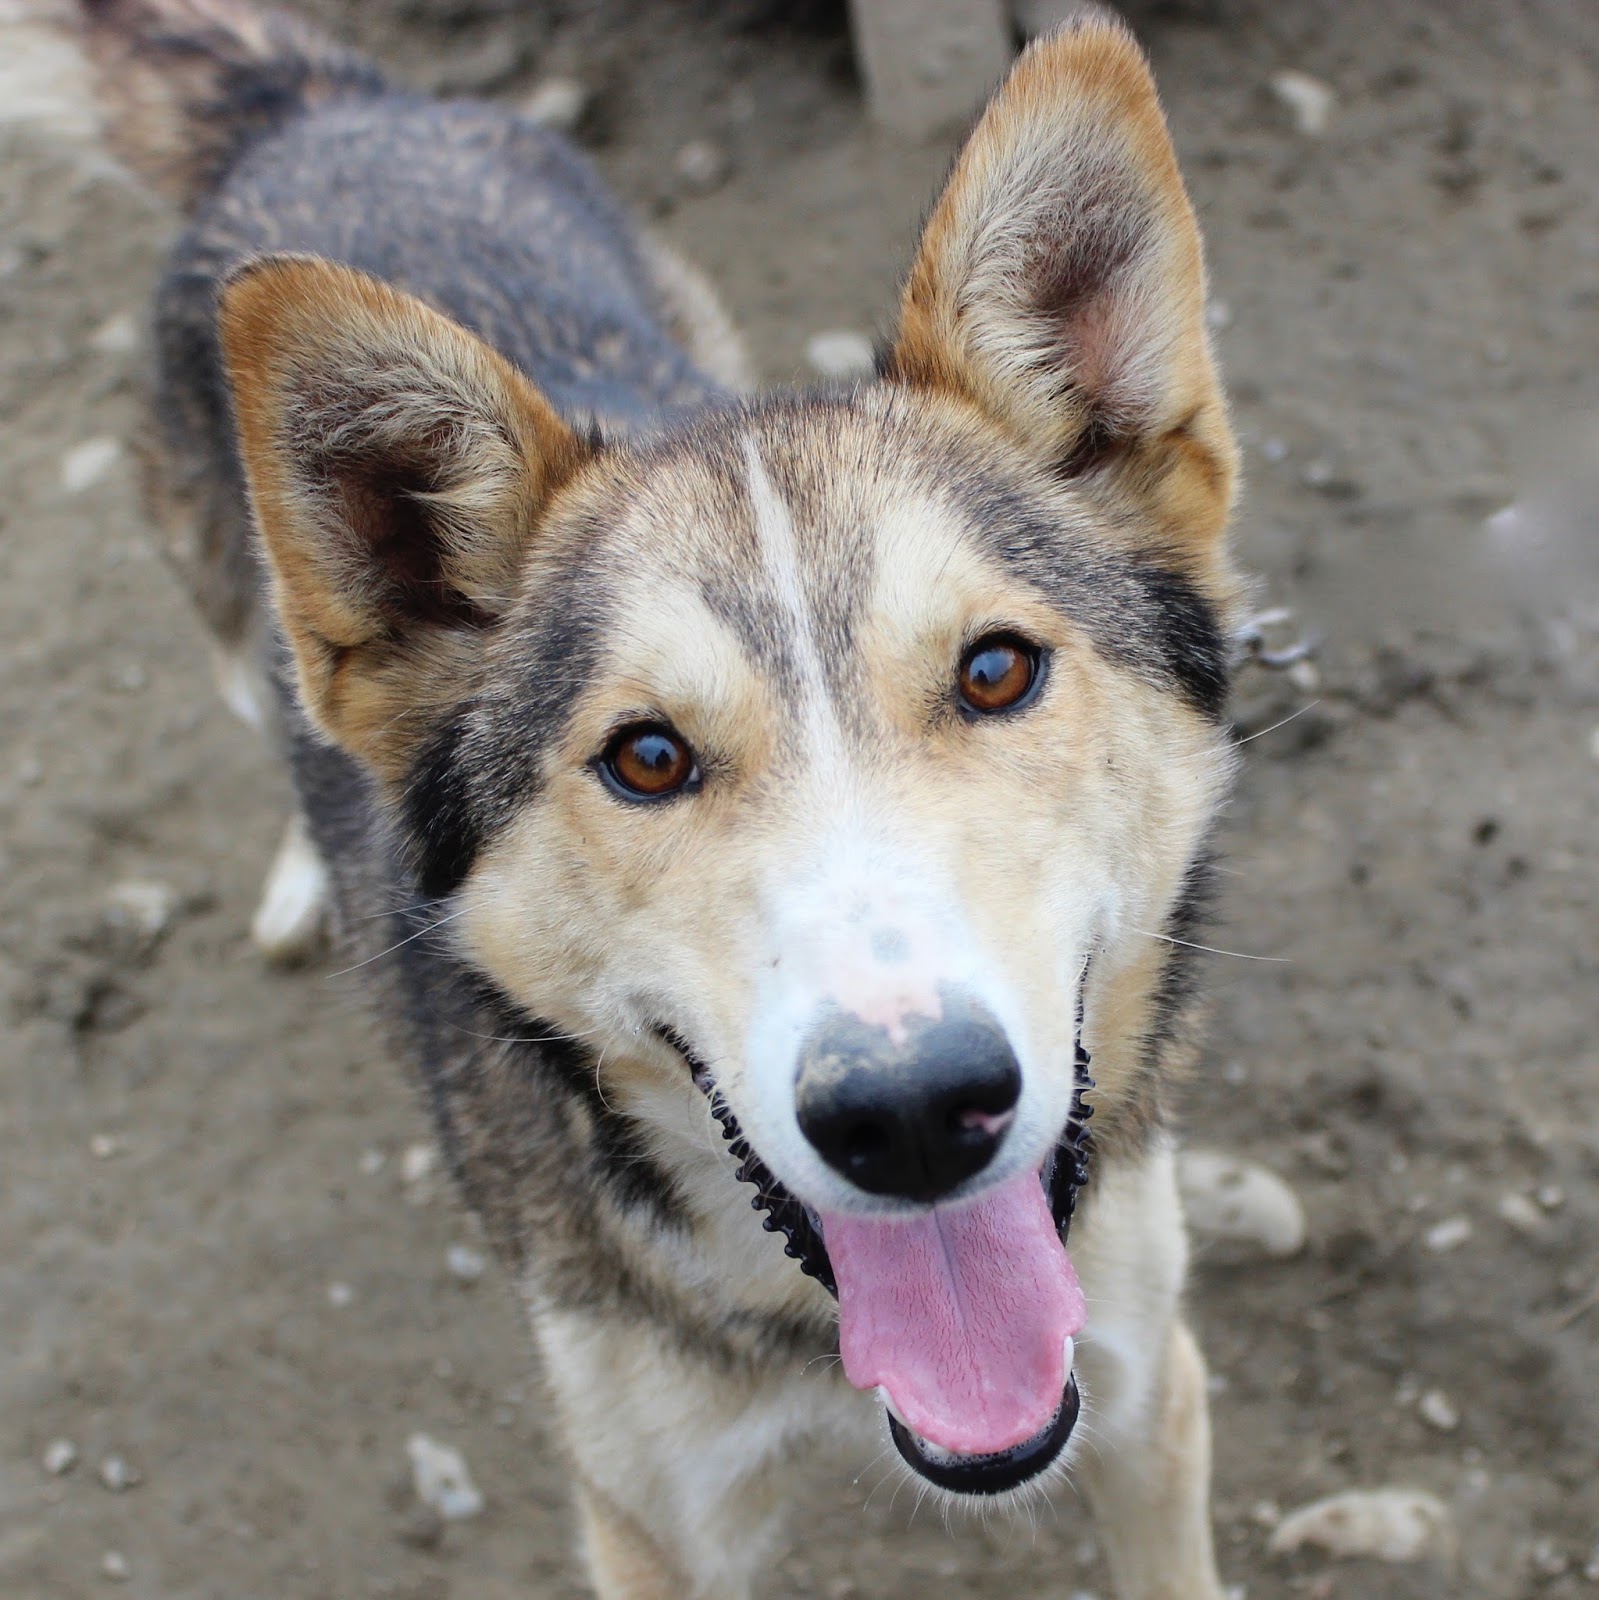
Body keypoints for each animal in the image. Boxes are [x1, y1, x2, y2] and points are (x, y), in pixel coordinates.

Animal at [80, 2, 1243, 1594]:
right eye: (645, 758)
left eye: (996, 671)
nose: (912, 1112)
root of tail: (329, 106)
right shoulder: (647, 1513)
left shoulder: (1144, 1391)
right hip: (224, 600)